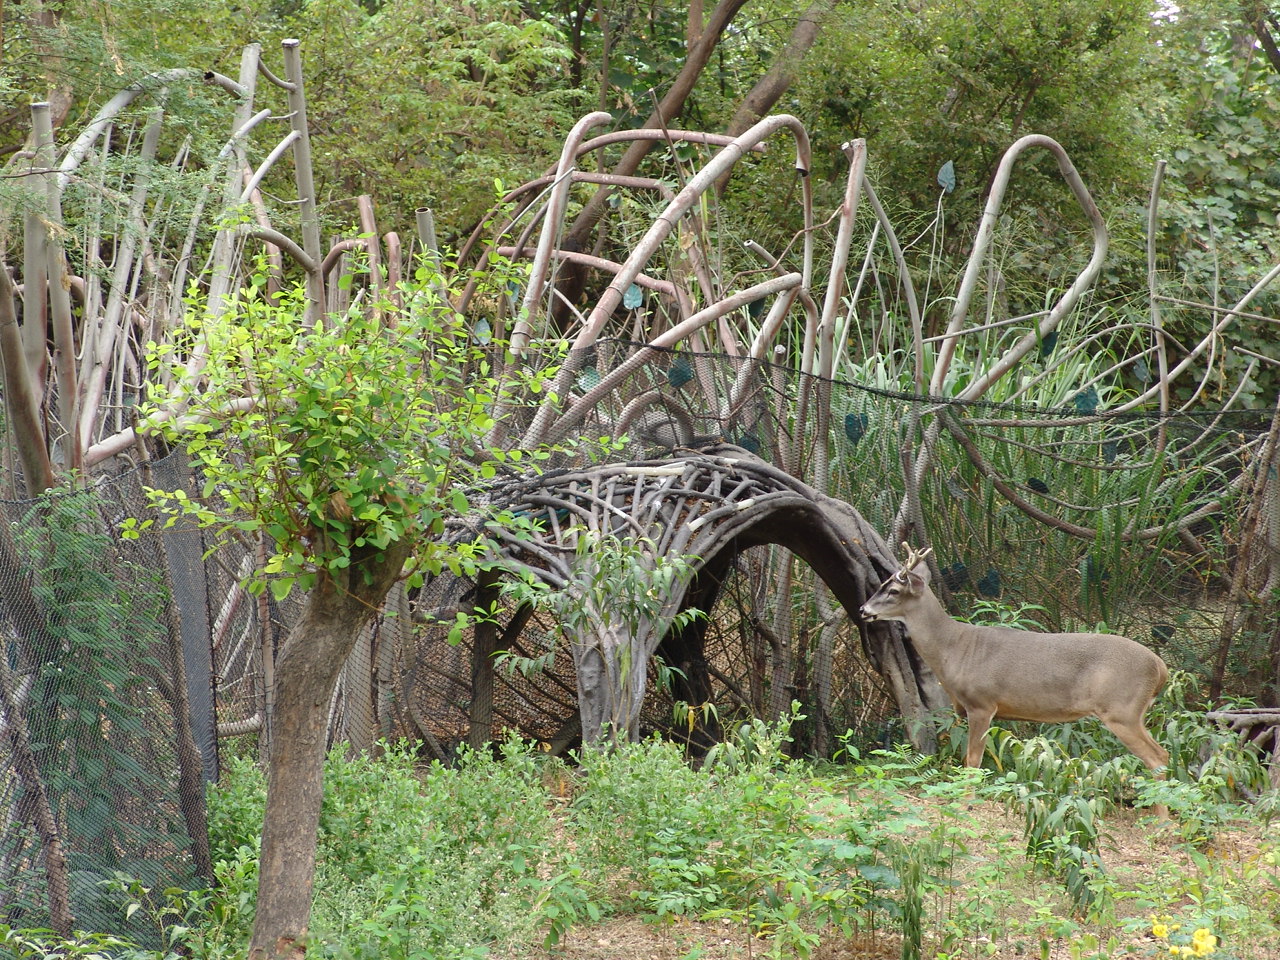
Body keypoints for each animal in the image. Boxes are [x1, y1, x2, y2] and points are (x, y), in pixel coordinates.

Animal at [860, 544, 1170, 809]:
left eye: (893, 590)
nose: (863, 610)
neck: (956, 650)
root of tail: (1160, 667)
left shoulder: (981, 703)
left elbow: (972, 759)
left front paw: (966, 803)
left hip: (1121, 709)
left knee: (1156, 758)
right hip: (1133, 712)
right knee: (1163, 754)